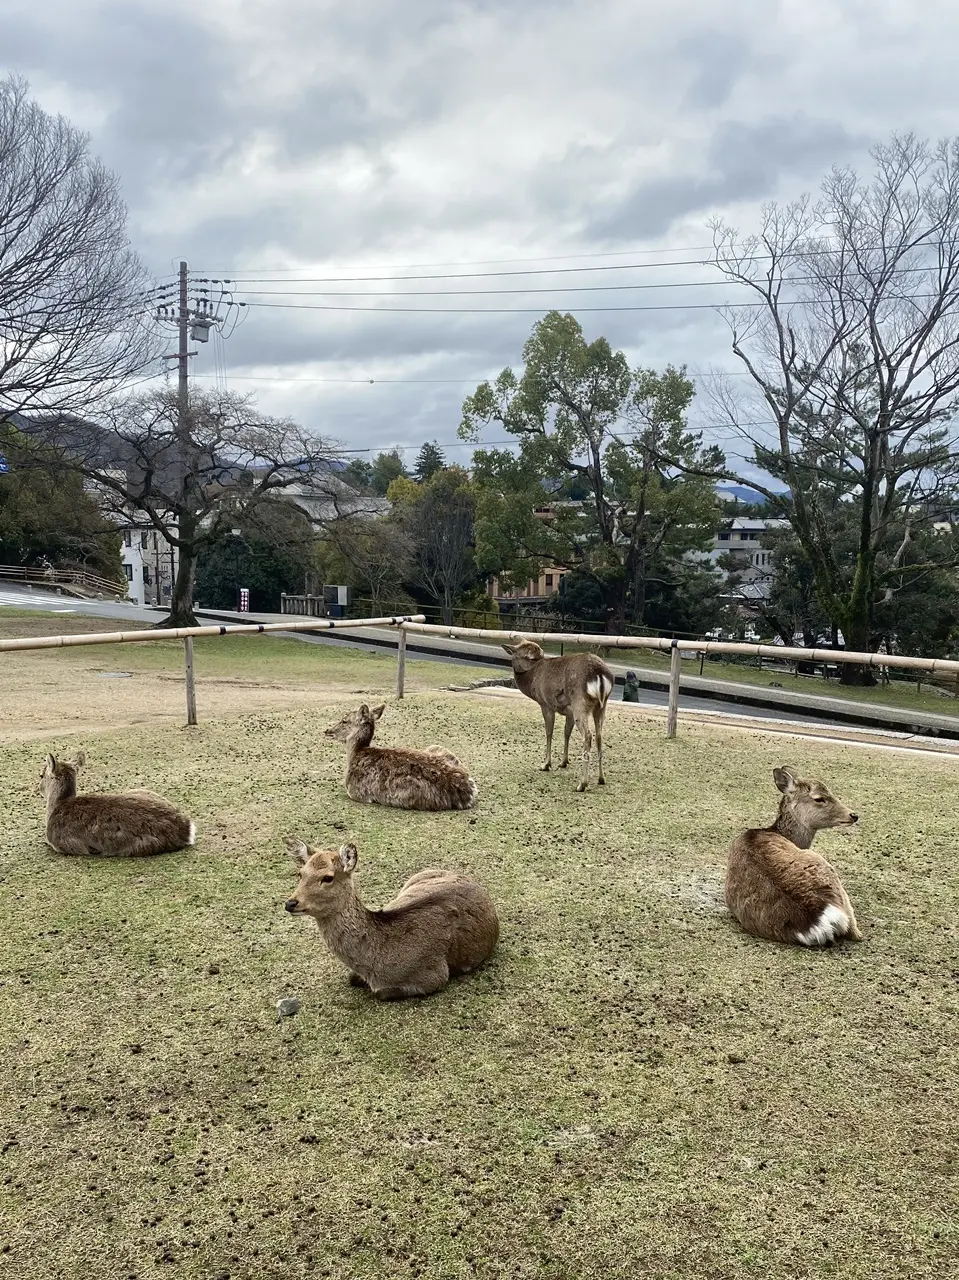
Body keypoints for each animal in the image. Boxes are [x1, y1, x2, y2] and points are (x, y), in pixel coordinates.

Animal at [284, 839, 499, 1000]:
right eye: (300, 873)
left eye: (328, 877)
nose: (290, 903)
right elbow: (351, 977)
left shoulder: (435, 975)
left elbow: (380, 993)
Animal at [324, 703, 479, 811]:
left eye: (344, 721)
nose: (327, 730)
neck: (355, 754)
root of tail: (469, 790)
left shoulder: (356, 792)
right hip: (437, 747)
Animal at [502, 640, 614, 792]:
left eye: (531, 657)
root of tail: (600, 674)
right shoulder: (569, 712)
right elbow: (566, 733)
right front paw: (563, 762)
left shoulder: (546, 704)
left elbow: (549, 732)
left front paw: (546, 764)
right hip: (601, 706)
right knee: (599, 735)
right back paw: (601, 779)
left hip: (580, 703)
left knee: (588, 735)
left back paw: (582, 784)